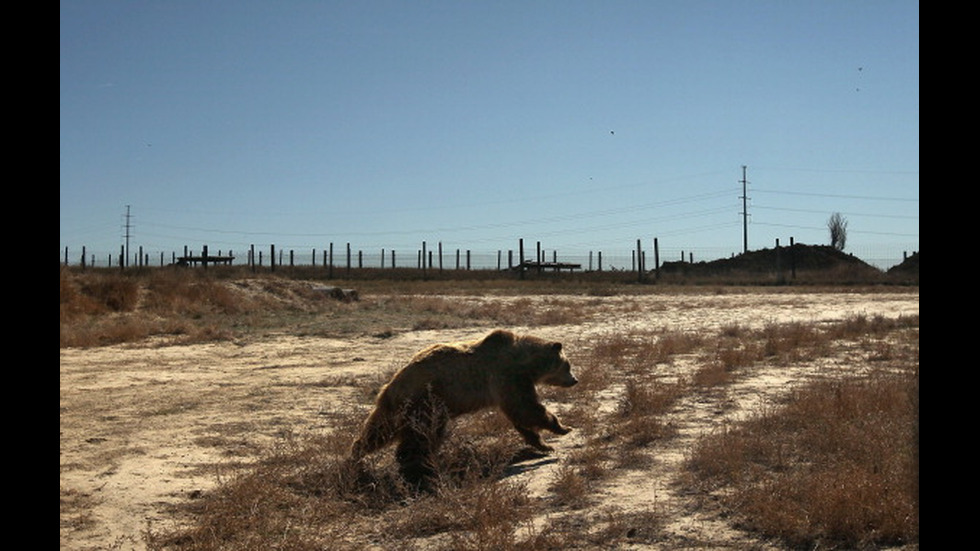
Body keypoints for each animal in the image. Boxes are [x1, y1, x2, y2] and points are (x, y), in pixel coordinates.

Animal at [350, 328, 576, 488]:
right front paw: (563, 428)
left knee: (378, 431)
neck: (526, 363)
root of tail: (391, 386)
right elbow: (527, 408)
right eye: (568, 365)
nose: (575, 380)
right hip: (427, 402)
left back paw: (357, 453)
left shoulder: (508, 385)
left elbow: (520, 416)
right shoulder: (508, 376)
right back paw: (419, 468)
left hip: (395, 408)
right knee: (422, 436)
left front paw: (542, 444)